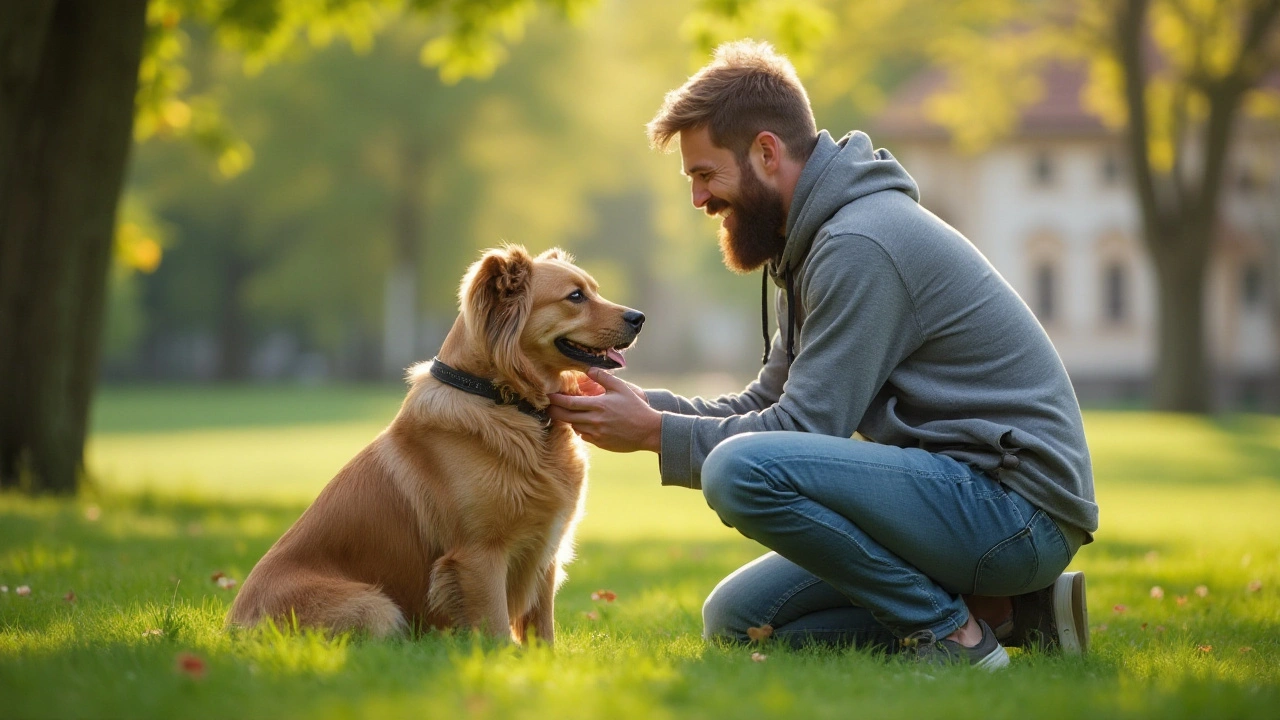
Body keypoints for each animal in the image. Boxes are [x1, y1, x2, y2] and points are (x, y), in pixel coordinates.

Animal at [226, 243, 645, 640]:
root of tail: (233, 625)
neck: (507, 401)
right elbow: (496, 630)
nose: (639, 318)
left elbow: (542, 631)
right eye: (575, 296)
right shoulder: (479, 556)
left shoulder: (545, 553)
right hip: (377, 608)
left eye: (594, 290)